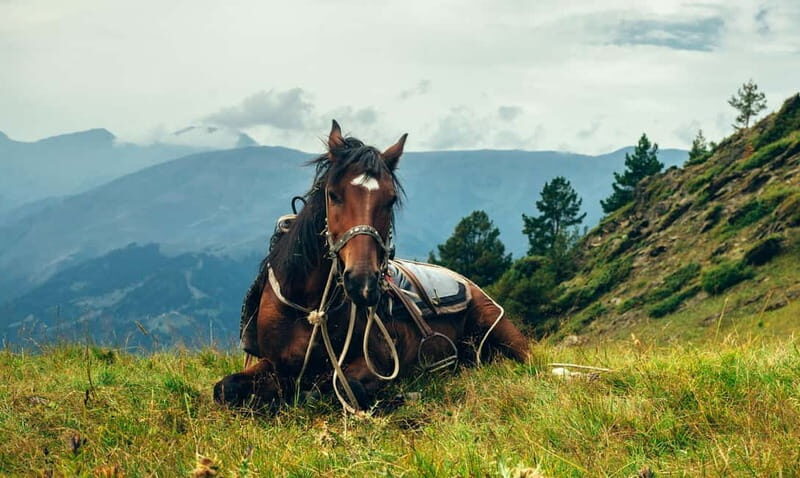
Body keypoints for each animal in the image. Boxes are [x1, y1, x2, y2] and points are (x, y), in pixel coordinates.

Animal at [213, 121, 529, 412]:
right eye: (333, 194)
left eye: (390, 200)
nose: (362, 283)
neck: (309, 309)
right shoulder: (274, 362)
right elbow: (226, 387)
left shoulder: (380, 361)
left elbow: (338, 386)